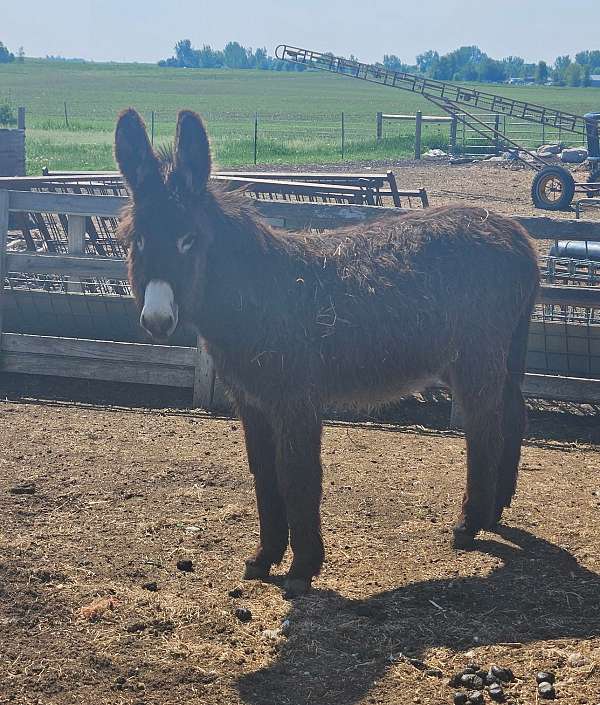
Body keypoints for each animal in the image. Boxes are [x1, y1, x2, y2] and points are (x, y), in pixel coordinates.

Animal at [114, 108, 540, 597]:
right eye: (137, 239)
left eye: (189, 239)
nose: (157, 320)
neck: (262, 290)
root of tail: (514, 230)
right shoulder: (252, 400)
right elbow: (264, 475)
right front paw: (264, 558)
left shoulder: (295, 399)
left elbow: (298, 474)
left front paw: (302, 568)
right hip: (487, 355)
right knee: (513, 413)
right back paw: (495, 512)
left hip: (477, 355)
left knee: (484, 428)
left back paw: (469, 526)